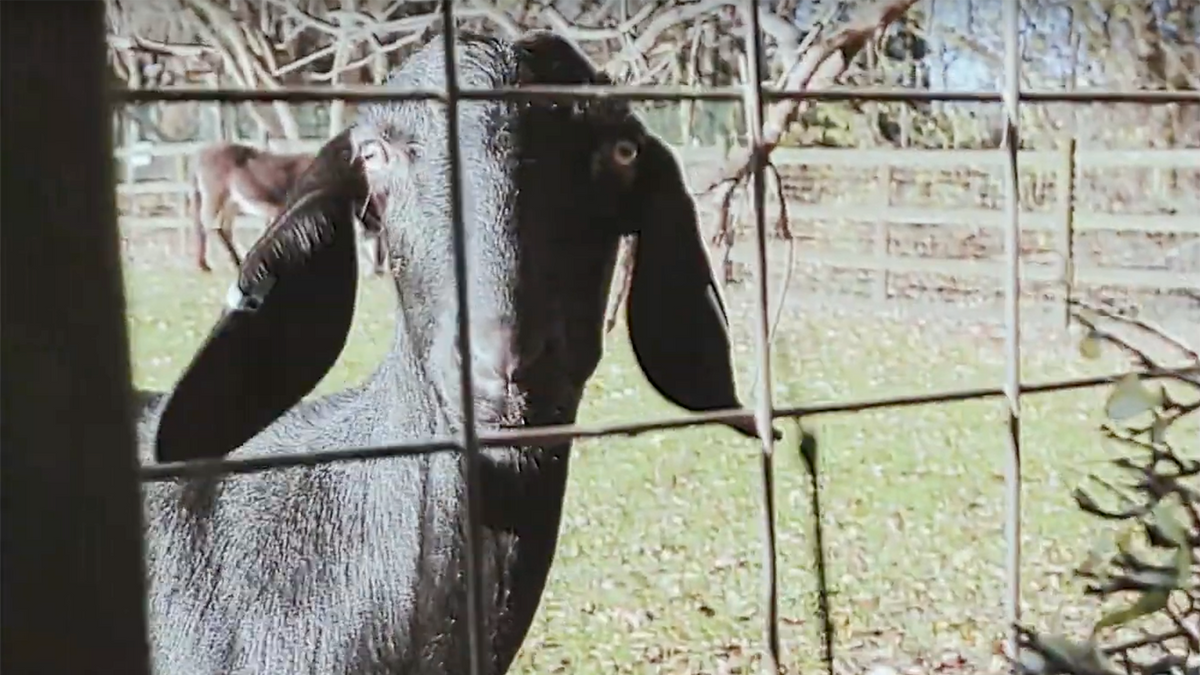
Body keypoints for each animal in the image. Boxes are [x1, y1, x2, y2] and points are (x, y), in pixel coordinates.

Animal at [190, 141, 387, 275]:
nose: (378, 270)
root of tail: (200, 154)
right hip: (215, 195)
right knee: (206, 224)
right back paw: (208, 265)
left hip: (232, 203)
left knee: (221, 228)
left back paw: (232, 262)